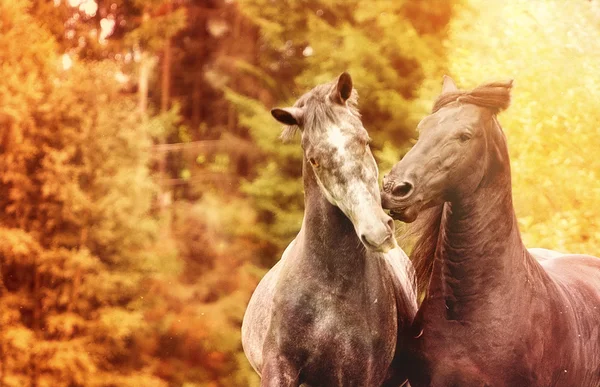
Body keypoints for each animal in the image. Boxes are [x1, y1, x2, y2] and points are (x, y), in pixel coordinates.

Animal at [240, 73, 418, 387]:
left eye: (364, 140)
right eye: (314, 159)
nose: (377, 232)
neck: (330, 291)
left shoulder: (359, 374)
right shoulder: (279, 369)